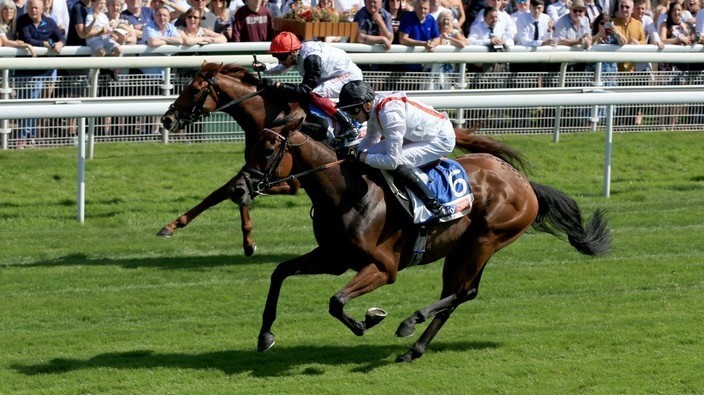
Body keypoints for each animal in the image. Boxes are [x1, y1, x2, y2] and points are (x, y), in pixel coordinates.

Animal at [231, 116, 612, 364]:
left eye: (268, 151)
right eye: (251, 148)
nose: (238, 190)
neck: (347, 195)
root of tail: (524, 183)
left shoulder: (384, 268)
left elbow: (336, 301)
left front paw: (367, 320)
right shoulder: (334, 258)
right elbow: (280, 272)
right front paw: (265, 335)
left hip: (485, 239)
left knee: (462, 293)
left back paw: (408, 323)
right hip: (463, 249)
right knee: (460, 295)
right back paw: (413, 349)